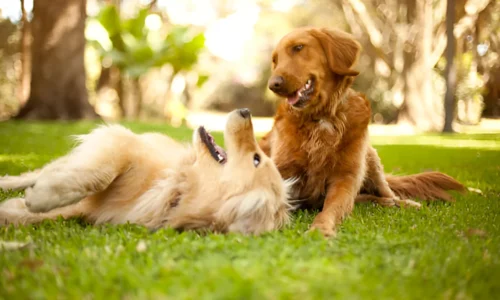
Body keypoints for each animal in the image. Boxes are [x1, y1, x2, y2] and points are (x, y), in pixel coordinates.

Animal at [0, 109, 292, 236]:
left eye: (256, 159)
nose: (245, 110)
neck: (177, 188)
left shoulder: (89, 210)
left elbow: (38, 215)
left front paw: (17, 209)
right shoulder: (121, 143)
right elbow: (100, 174)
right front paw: (43, 197)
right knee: (38, 172)